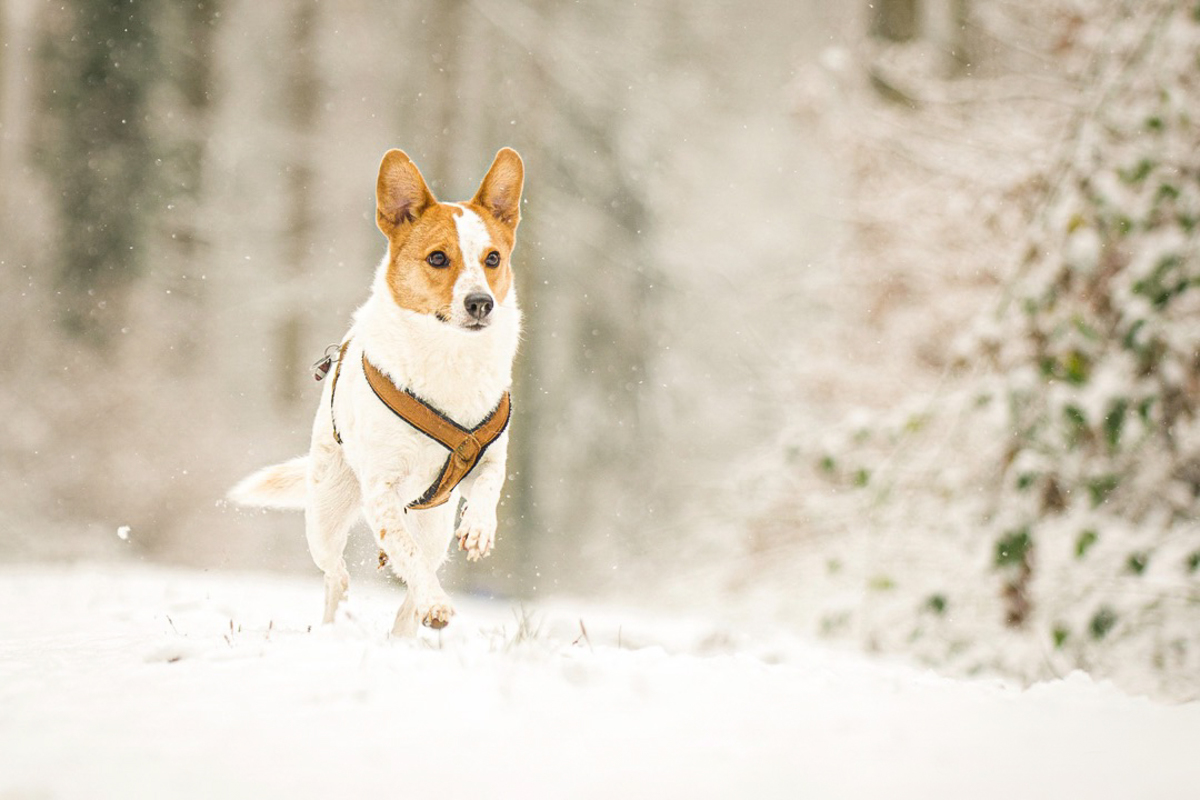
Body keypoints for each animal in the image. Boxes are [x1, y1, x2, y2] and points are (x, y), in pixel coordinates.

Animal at [229, 148, 520, 638]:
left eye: (493, 258)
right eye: (438, 258)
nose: (481, 303)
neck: (448, 356)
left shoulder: (483, 458)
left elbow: (489, 485)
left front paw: (479, 529)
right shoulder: (382, 491)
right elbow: (405, 552)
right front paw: (436, 602)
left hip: (435, 524)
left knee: (410, 589)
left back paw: (410, 626)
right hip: (325, 514)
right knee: (339, 574)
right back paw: (341, 620)